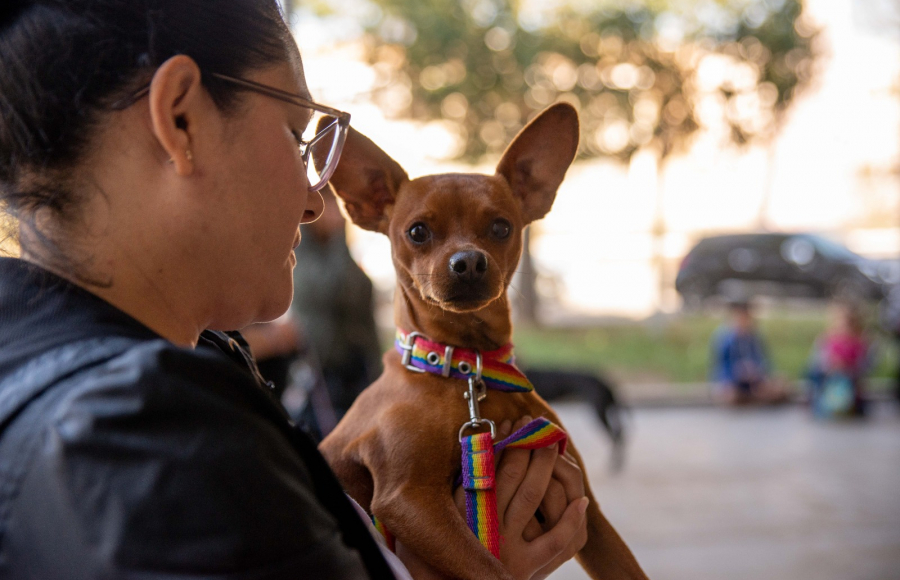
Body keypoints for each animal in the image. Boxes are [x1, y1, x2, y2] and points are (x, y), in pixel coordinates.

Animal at [320, 105, 644, 580]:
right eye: (417, 232)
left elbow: (627, 566)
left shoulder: (589, 509)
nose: (469, 261)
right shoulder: (408, 499)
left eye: (501, 226)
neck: (468, 369)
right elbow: (493, 570)